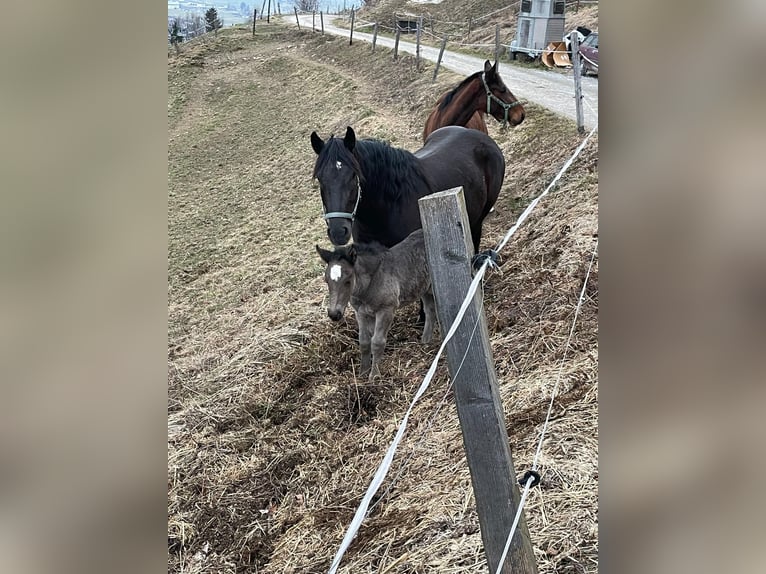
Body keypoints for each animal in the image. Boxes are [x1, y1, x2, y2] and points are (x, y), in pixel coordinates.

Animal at [316, 230, 438, 382]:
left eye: (348, 280)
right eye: (326, 280)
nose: (334, 314)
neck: (370, 284)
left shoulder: (386, 310)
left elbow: (377, 342)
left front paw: (374, 376)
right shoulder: (361, 312)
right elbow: (364, 342)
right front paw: (362, 373)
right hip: (424, 289)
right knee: (430, 311)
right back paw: (425, 341)